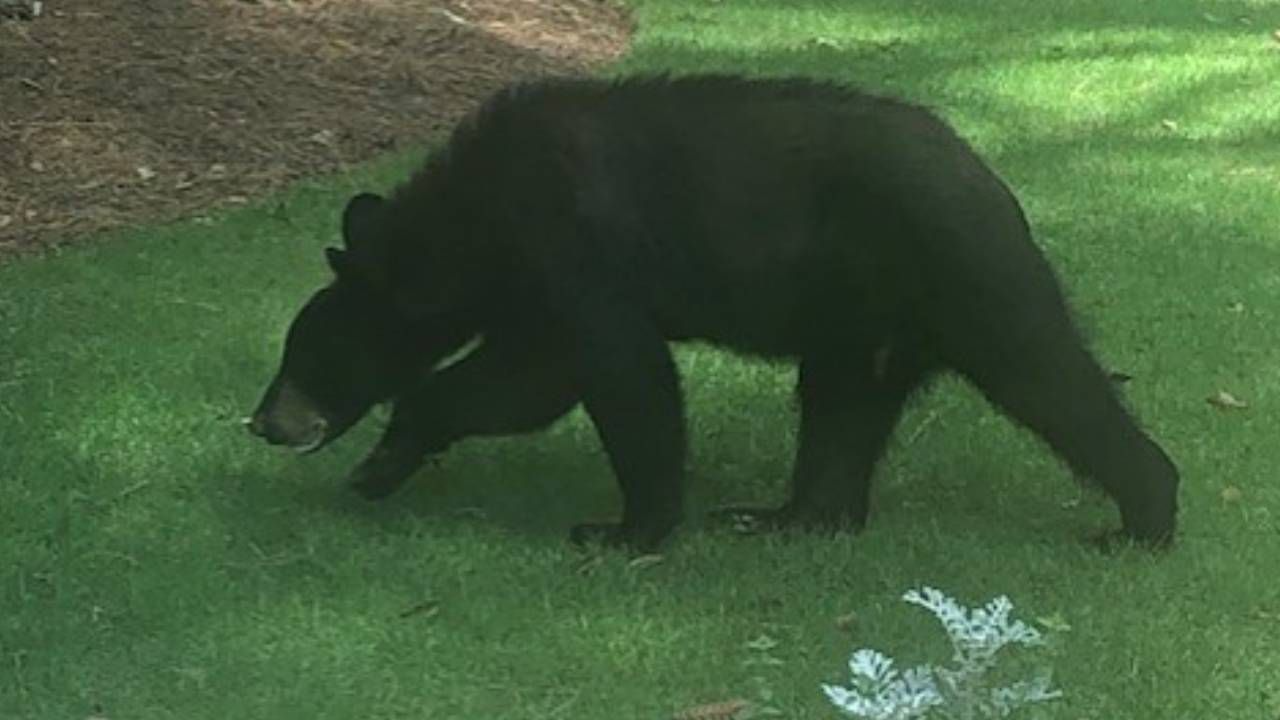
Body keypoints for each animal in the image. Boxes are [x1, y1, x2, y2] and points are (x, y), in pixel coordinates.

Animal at [247, 74, 1179, 553]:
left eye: (308, 356)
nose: (263, 423)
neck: (476, 220)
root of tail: (990, 179)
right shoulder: (536, 284)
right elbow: (532, 379)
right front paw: (383, 465)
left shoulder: (576, 248)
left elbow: (603, 376)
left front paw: (624, 531)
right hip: (860, 313)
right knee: (842, 406)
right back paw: (787, 517)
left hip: (960, 268)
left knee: (1047, 376)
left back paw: (1142, 518)